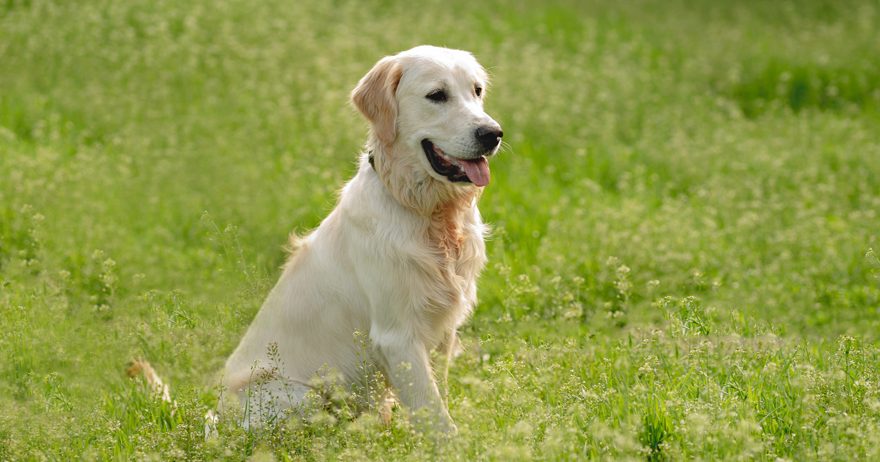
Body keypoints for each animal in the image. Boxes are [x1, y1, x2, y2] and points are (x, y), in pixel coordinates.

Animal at [220, 45, 502, 432]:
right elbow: (437, 419)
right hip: (304, 396)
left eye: (477, 91)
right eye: (437, 95)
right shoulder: (398, 337)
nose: (493, 133)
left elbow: (439, 399)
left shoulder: (443, 330)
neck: (429, 213)